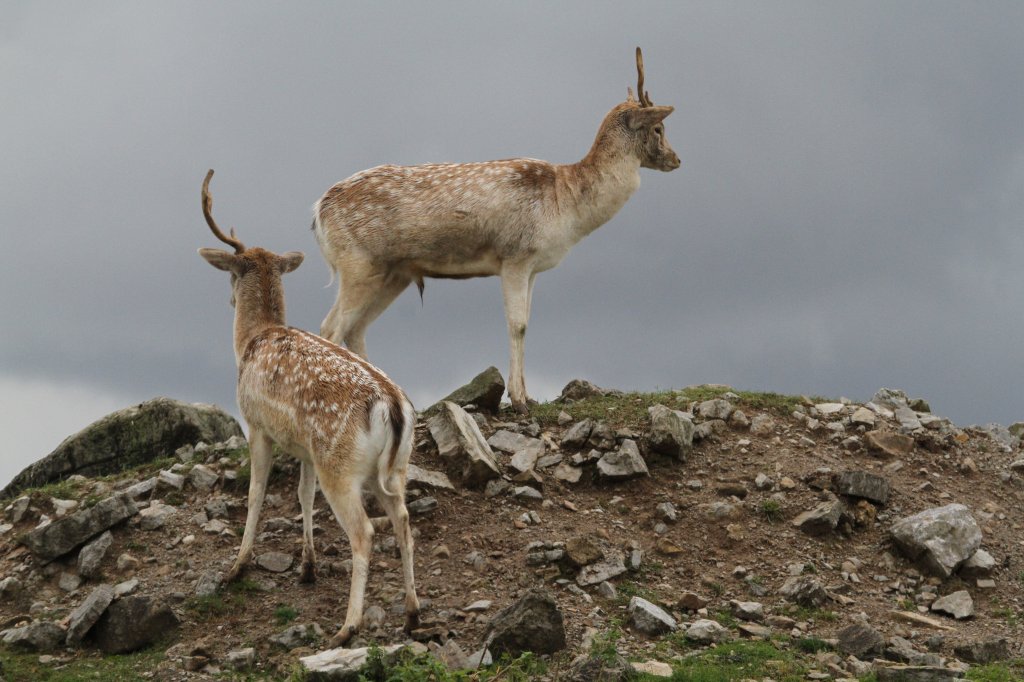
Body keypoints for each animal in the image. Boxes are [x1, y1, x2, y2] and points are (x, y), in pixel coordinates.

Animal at [195, 168, 419, 643]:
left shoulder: (257, 424)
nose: (228, 298)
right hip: (394, 467)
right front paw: (307, 567)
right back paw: (412, 614)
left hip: (342, 464)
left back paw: (348, 627)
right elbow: (301, 493)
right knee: (404, 521)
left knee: (365, 532)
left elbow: (257, 493)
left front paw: (236, 567)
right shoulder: (305, 448)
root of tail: (392, 406)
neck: (250, 342)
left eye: (230, 275)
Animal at [311, 47, 679, 411]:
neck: (567, 206)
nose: (677, 159)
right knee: (330, 327)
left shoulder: (534, 267)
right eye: (658, 128)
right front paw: (517, 400)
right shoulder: (515, 255)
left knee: (356, 329)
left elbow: (526, 323)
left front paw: (527, 395)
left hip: (393, 273)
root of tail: (318, 211)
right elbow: (517, 325)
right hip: (357, 262)